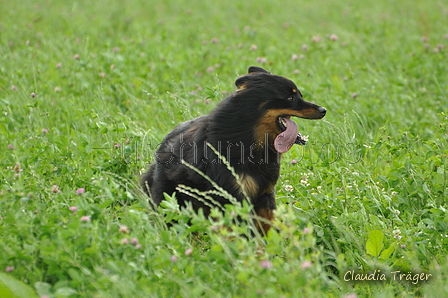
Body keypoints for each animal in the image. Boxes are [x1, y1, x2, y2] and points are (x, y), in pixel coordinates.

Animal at [143, 66, 326, 234]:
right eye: (290, 97)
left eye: (299, 95)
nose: (323, 110)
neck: (250, 140)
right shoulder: (233, 198)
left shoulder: (265, 195)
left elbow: (269, 227)